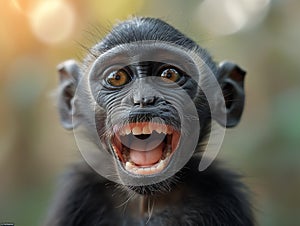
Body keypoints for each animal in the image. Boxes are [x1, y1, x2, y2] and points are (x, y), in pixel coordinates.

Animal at [43, 17, 254, 226]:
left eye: (170, 75)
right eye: (116, 77)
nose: (143, 99)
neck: (146, 204)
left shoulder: (222, 194)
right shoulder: (75, 195)